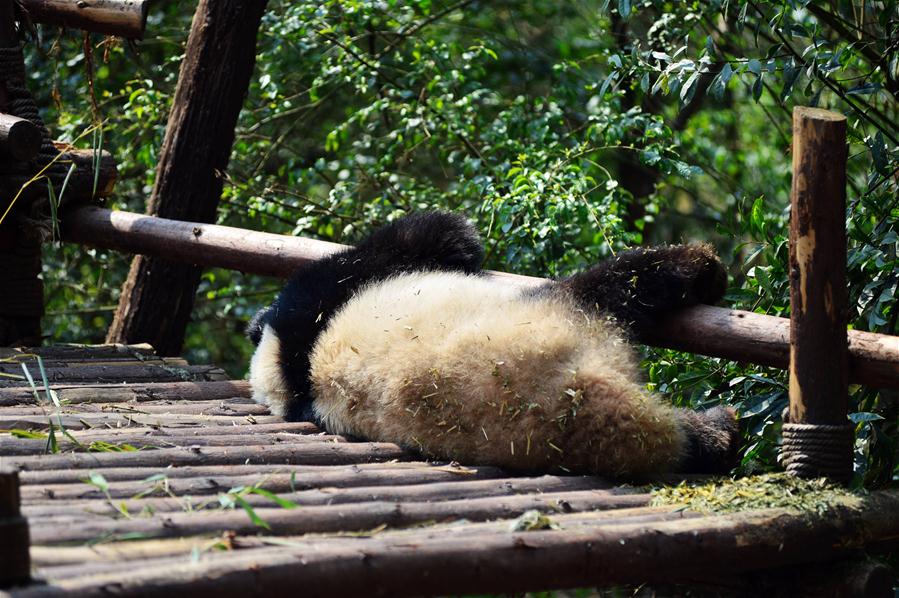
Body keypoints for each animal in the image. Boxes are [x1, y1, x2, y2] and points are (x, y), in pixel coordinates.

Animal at [246, 213, 740, 480]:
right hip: (563, 316)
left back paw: (710, 435)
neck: (292, 371)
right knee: (625, 282)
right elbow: (434, 236)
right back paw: (702, 270)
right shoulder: (324, 293)